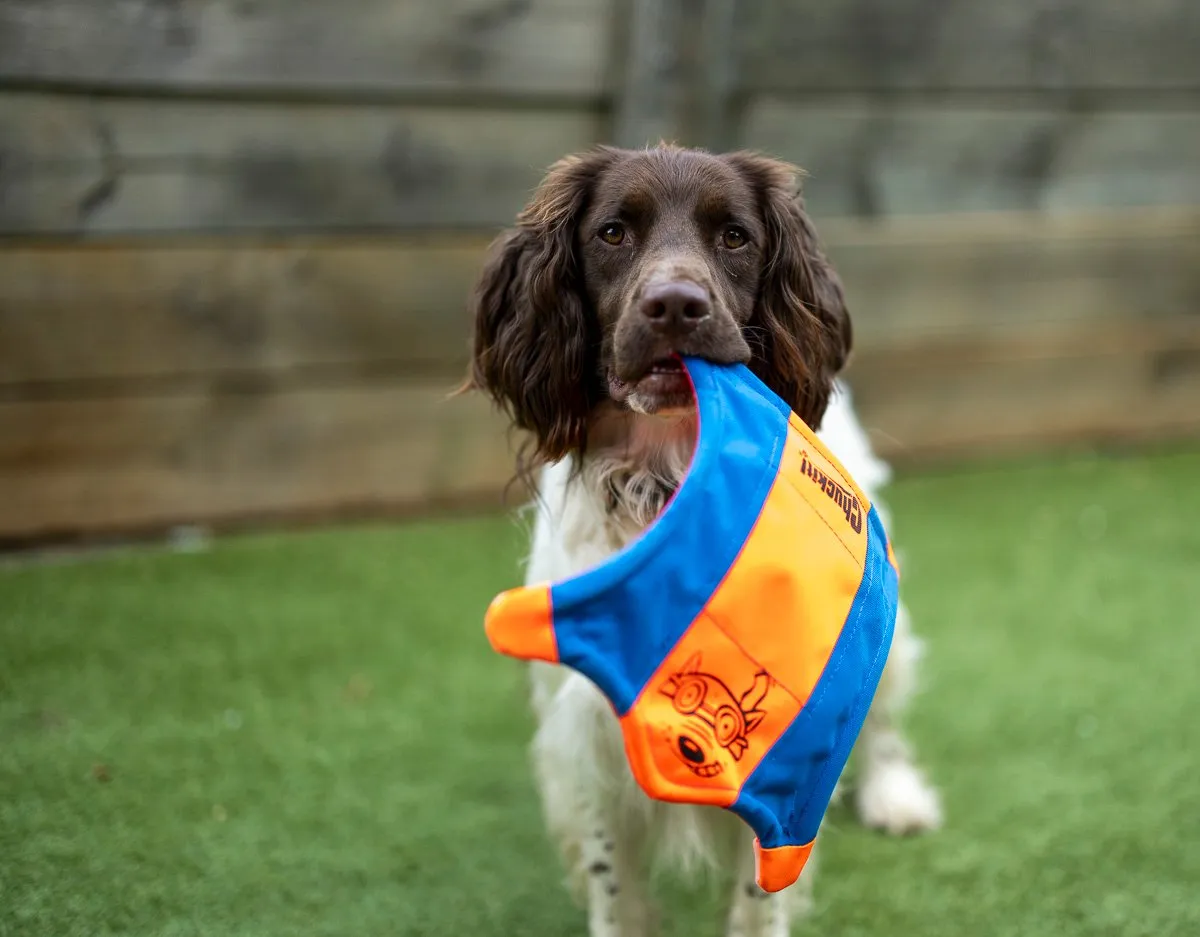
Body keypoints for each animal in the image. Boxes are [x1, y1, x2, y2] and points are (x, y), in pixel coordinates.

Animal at [463, 142, 940, 931]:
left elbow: (759, 889)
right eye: (613, 232)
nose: (676, 304)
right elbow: (612, 877)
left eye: (735, 237)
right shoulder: (590, 727)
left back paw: (894, 795)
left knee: (880, 721)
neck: (665, 479)